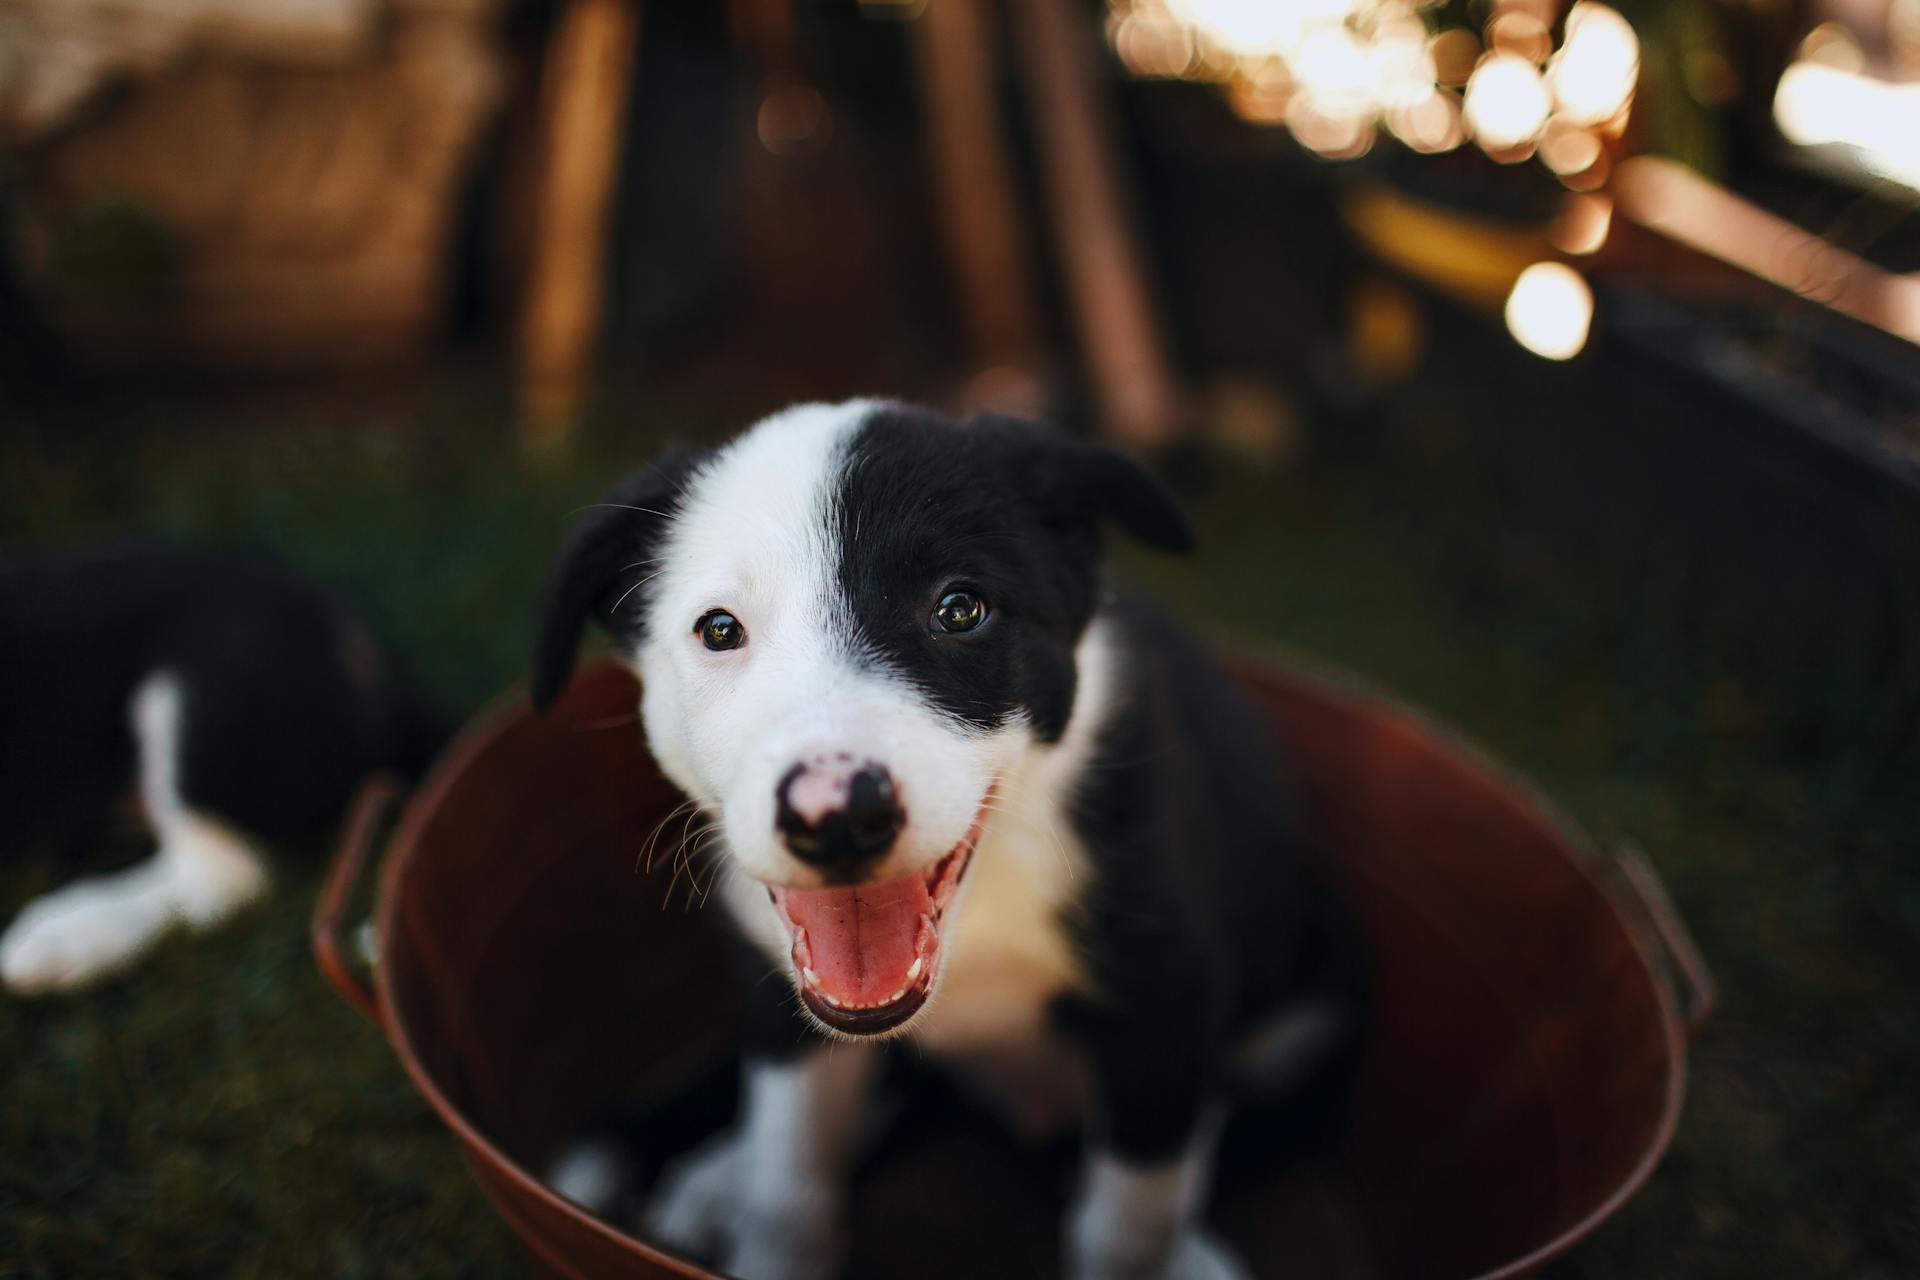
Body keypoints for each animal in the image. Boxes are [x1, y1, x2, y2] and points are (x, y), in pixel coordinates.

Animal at [533, 404, 1359, 1280]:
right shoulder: (782, 1004)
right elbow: (790, 1185)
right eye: (719, 629)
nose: (839, 815)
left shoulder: (1169, 1003)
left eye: (961, 610)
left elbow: (1125, 1223)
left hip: (1317, 1002)